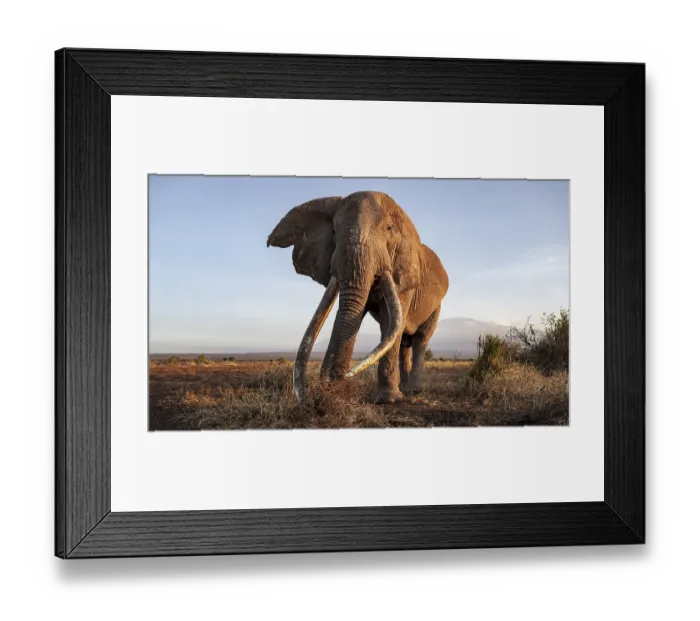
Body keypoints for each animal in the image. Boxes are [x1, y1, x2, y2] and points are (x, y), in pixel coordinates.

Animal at [267, 191, 449, 404]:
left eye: (388, 229)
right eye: (334, 232)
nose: (336, 383)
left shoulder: (403, 276)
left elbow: (388, 321)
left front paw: (387, 400)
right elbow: (349, 314)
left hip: (436, 306)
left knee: (420, 339)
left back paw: (413, 391)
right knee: (405, 342)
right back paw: (405, 389)